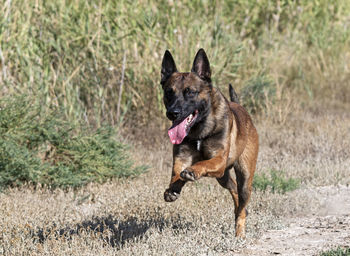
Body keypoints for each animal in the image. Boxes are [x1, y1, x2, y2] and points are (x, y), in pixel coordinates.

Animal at [160, 48, 258, 238]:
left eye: (190, 92)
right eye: (169, 92)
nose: (172, 113)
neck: (199, 131)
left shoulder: (218, 161)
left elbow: (203, 163)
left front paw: (192, 171)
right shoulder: (181, 158)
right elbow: (176, 173)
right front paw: (173, 189)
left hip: (244, 177)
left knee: (242, 203)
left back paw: (239, 233)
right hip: (223, 178)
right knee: (234, 191)